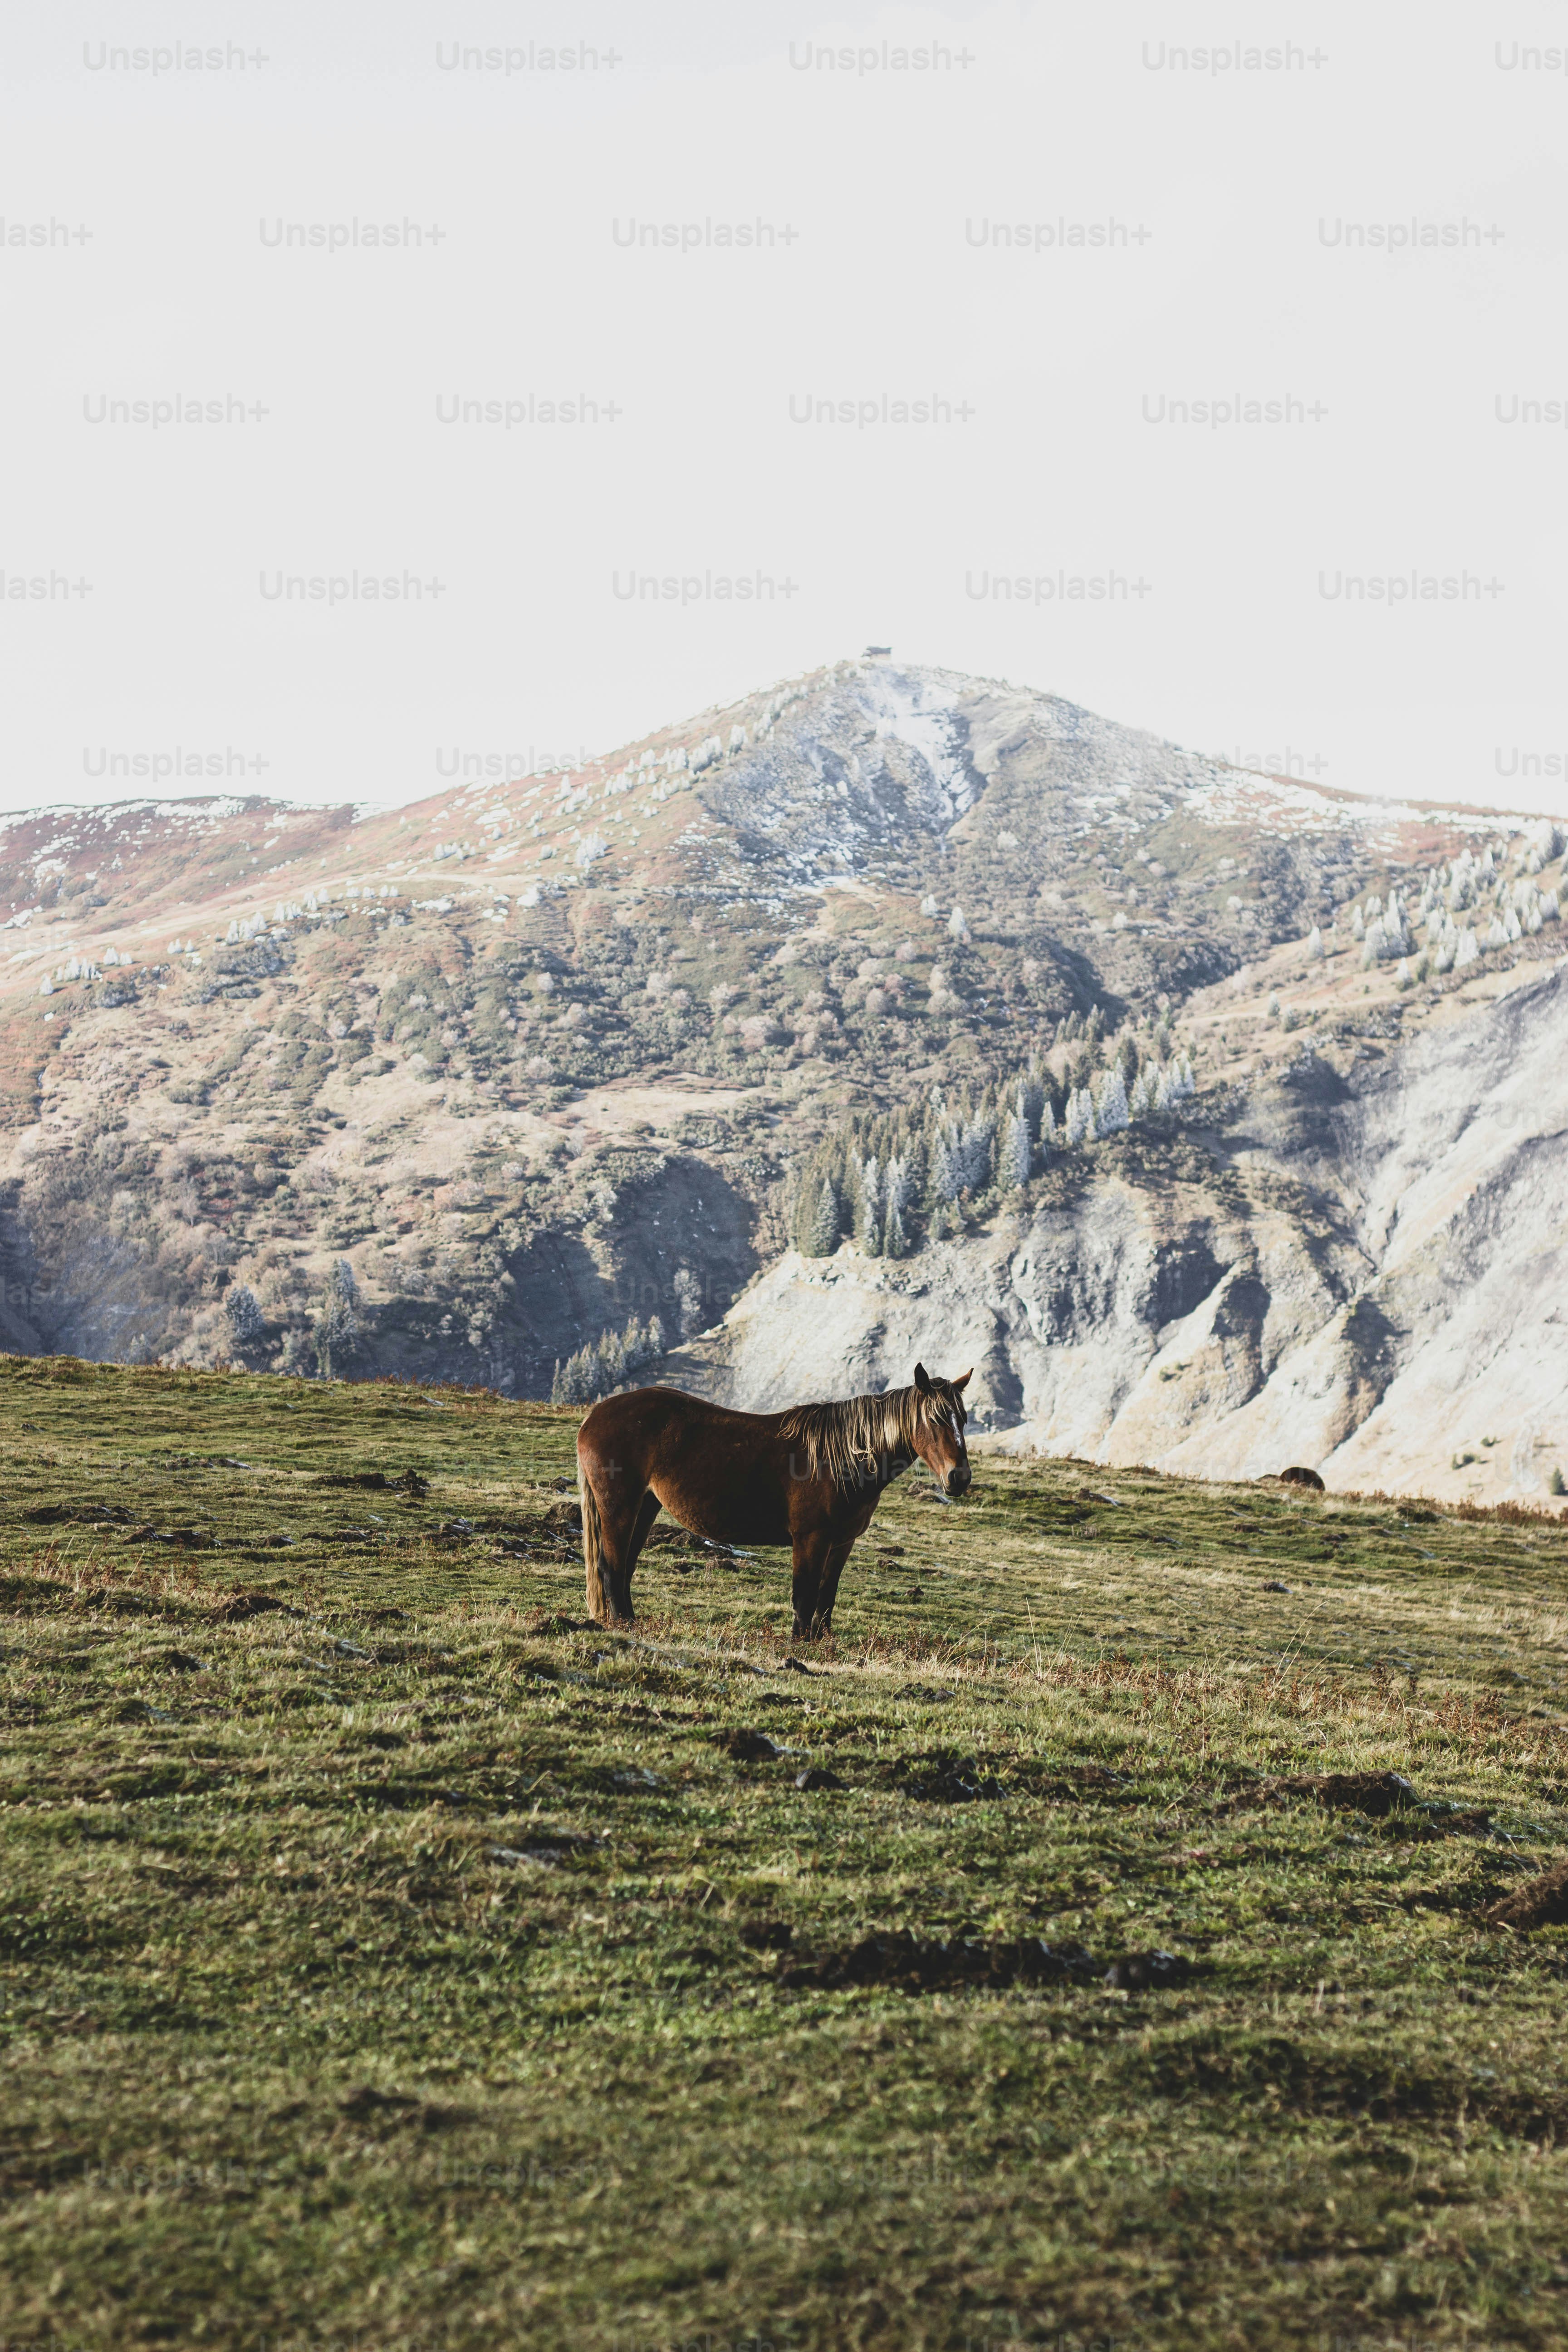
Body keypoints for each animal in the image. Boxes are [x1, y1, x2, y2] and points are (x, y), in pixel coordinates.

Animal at [574, 1363, 973, 1638]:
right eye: (936, 1418)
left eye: (964, 1419)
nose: (960, 1478)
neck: (843, 1459)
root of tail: (594, 1415)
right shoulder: (810, 1539)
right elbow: (804, 1596)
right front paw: (800, 1644)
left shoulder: (841, 1543)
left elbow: (826, 1596)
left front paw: (821, 1644)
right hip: (619, 1507)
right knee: (611, 1567)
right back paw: (623, 1624)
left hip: (645, 1507)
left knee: (624, 1568)